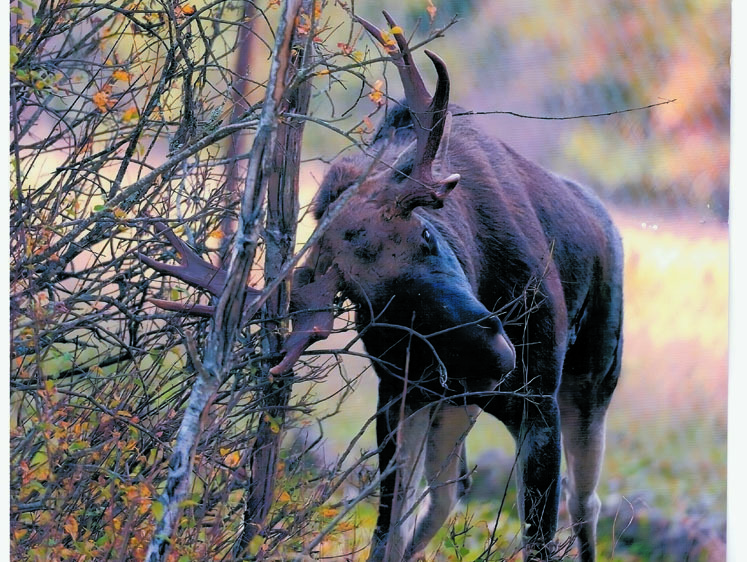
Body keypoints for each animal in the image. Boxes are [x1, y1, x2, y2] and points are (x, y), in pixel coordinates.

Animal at [140, 13, 624, 560]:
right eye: (369, 301)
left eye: (426, 237)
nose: (495, 354)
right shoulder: (398, 395)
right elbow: (385, 532)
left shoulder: (539, 402)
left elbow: (539, 539)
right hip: (452, 408)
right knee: (448, 491)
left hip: (592, 383)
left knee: (584, 502)